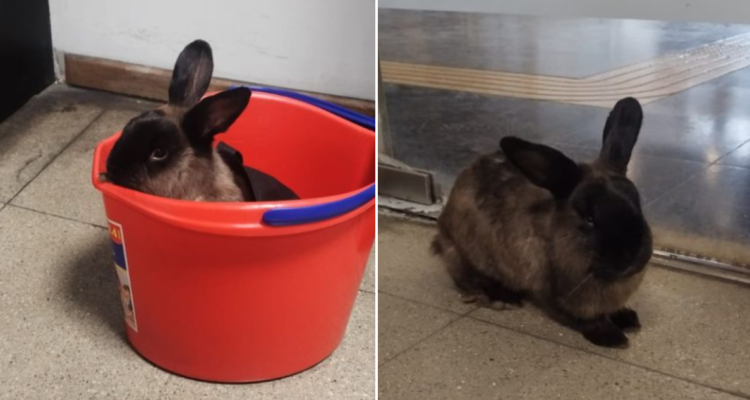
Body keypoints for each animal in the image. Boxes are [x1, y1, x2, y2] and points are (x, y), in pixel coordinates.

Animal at [432, 97, 652, 348]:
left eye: (638, 204)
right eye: (589, 218)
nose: (632, 257)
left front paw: (628, 318)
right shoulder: (552, 296)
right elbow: (583, 319)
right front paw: (612, 336)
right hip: (464, 253)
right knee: (469, 278)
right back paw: (503, 298)